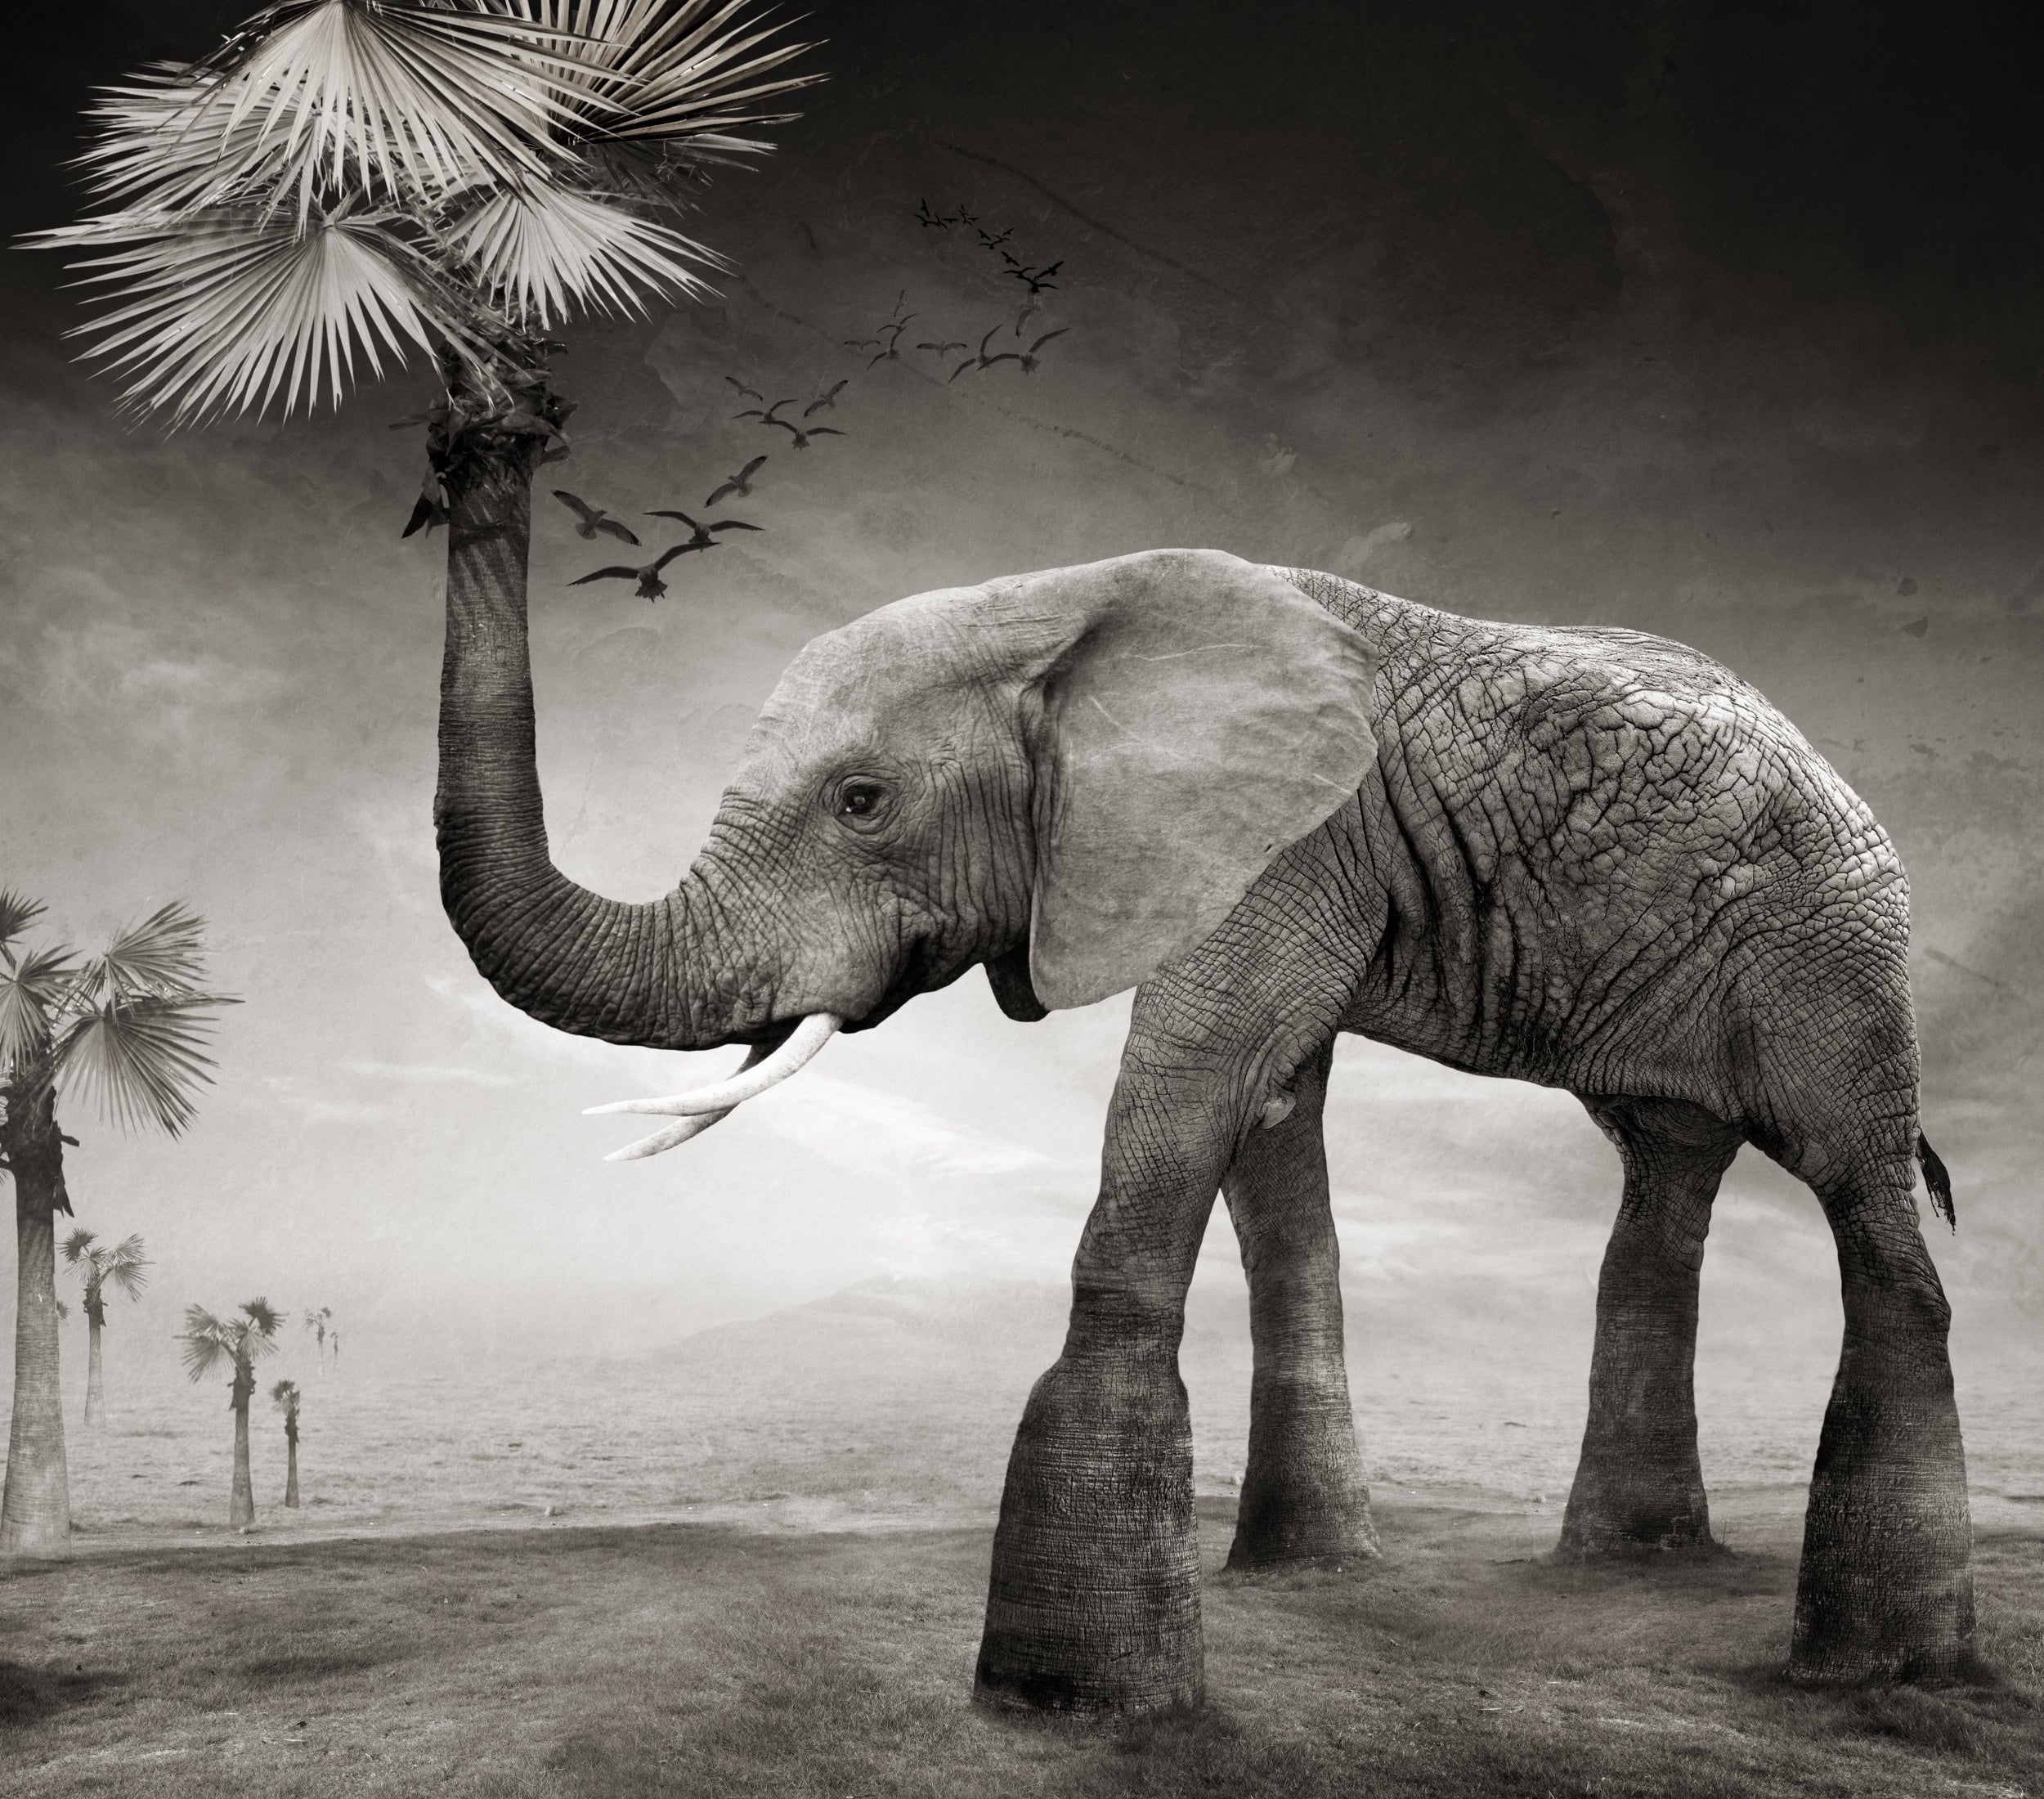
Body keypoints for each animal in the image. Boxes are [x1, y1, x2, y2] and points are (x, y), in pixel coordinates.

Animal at [435, 518, 1971, 1713]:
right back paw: (1638, 1570)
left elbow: (1196, 1078)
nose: (483, 437)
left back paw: (1873, 1669)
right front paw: (1298, 1581)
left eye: (863, 802)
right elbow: (1271, 1125)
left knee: (1857, 1193)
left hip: (1831, 949)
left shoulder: (1290, 844)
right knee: (1666, 1195)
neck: (1060, 602)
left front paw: (1077, 1695)